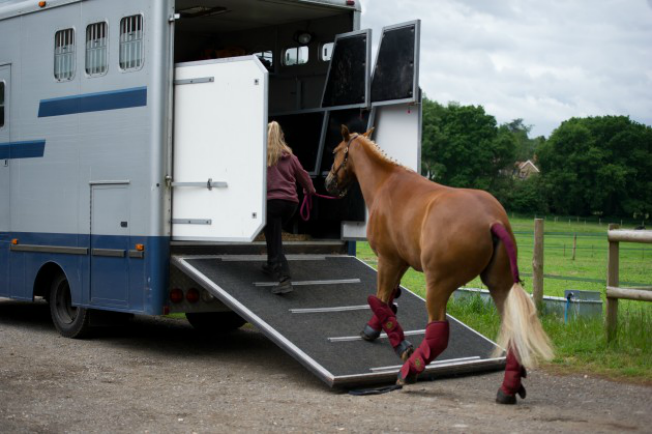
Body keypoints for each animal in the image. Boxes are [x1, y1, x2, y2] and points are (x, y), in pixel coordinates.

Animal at [324, 124, 552, 404]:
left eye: (336, 151)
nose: (328, 183)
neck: (386, 184)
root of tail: (493, 221)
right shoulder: (400, 263)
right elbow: (387, 300)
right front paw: (373, 330)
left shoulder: (387, 260)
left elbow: (378, 299)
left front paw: (398, 344)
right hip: (500, 288)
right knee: (511, 329)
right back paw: (508, 388)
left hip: (438, 286)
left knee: (439, 333)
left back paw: (409, 371)